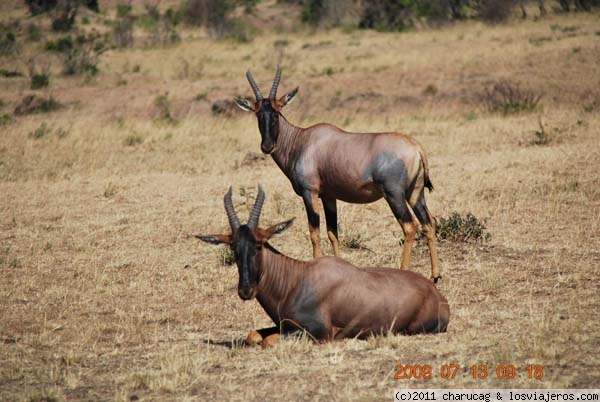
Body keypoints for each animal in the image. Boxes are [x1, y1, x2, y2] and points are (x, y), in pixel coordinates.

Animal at [197, 187, 450, 348]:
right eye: (233, 247)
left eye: (258, 244)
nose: (246, 290)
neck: (296, 279)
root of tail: (438, 296)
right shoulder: (283, 325)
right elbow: (253, 336)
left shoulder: (319, 332)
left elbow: (268, 341)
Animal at [234, 66, 440, 282]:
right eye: (258, 113)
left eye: (277, 112)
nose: (267, 146)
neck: (302, 141)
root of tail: (416, 147)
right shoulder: (329, 197)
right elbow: (333, 232)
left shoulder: (310, 193)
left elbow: (314, 233)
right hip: (415, 193)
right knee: (429, 223)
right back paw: (435, 275)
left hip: (394, 195)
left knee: (410, 226)